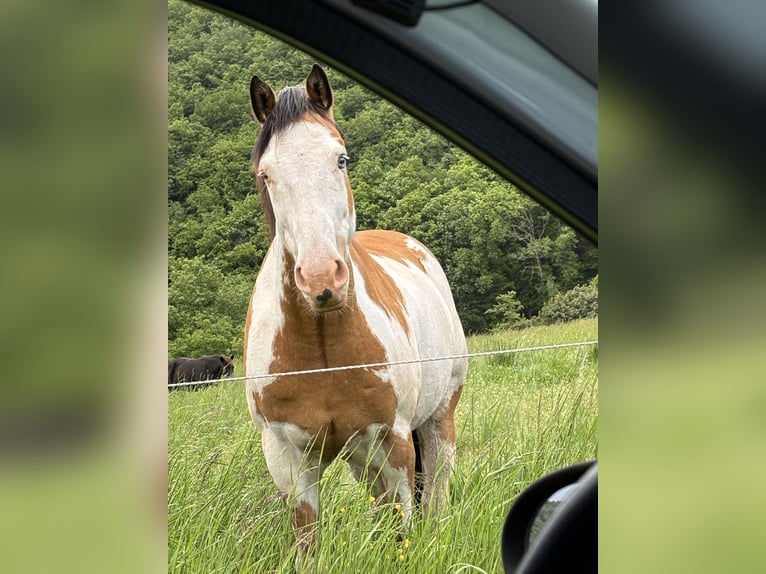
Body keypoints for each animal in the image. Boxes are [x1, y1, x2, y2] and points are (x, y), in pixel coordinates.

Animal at [243, 64, 467, 565]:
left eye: (341, 159)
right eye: (266, 175)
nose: (321, 279)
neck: (323, 351)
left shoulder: (394, 444)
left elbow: (402, 532)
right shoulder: (289, 461)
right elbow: (308, 544)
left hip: (437, 420)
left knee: (436, 493)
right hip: (358, 458)